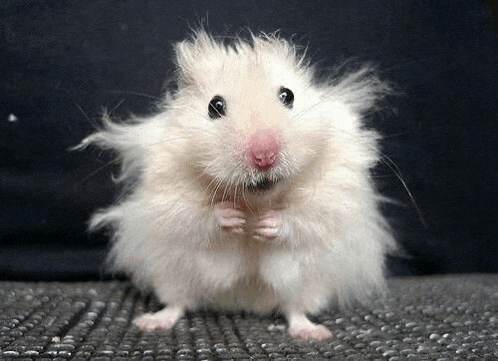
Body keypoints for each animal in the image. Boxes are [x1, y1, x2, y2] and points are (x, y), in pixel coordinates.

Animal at [78, 29, 394, 338]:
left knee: (296, 308)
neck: (254, 201)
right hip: (171, 271)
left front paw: (266, 224)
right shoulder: (166, 191)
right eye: (214, 106)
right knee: (178, 302)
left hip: (310, 280)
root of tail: (243, 302)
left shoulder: (335, 191)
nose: (264, 154)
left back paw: (313, 333)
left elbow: (306, 215)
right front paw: (232, 217)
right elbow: (192, 216)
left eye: (288, 95)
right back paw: (152, 322)